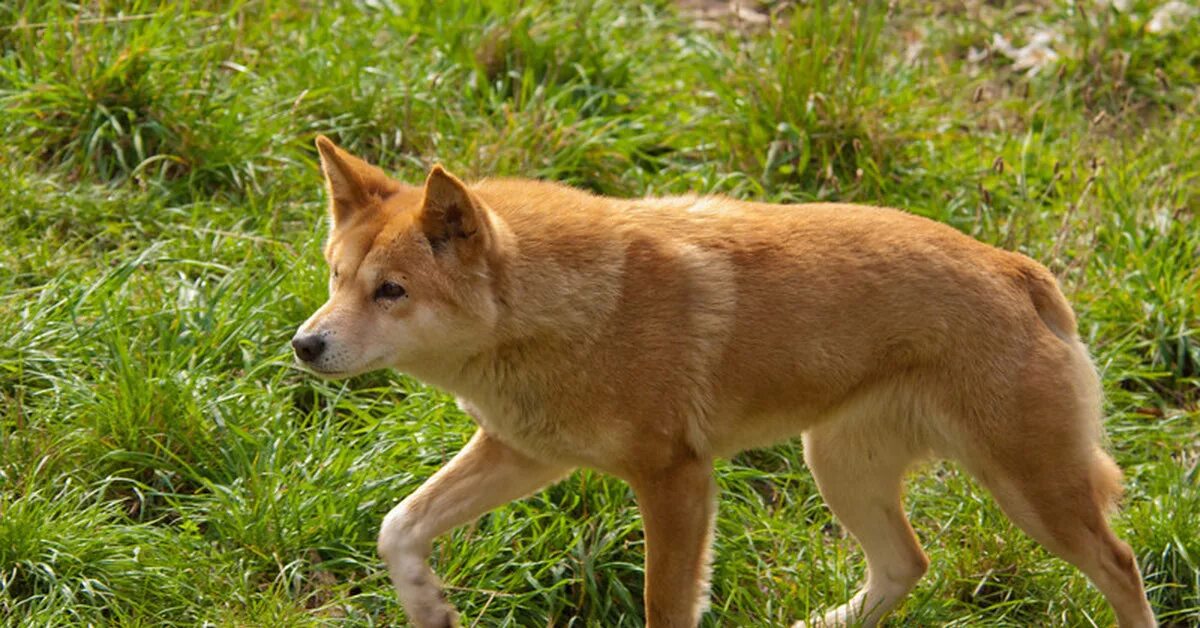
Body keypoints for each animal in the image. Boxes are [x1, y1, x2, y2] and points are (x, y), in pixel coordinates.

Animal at [290, 138, 1152, 628]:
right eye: (334, 276)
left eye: (391, 291)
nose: (304, 344)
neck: (571, 306)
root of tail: (1016, 268)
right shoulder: (524, 453)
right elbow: (398, 527)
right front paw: (431, 608)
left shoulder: (675, 478)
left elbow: (664, 608)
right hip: (840, 467)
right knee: (907, 564)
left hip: (1032, 492)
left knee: (1121, 566)